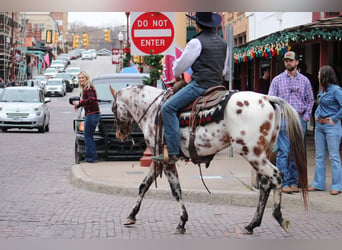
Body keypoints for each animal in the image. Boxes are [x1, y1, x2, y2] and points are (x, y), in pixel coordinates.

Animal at [109, 85, 308, 235]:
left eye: (113, 108)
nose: (119, 135)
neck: (153, 110)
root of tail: (267, 98)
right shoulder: (158, 159)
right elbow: (144, 185)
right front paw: (131, 215)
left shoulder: (167, 161)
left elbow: (176, 190)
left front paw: (182, 222)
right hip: (262, 154)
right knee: (266, 185)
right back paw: (251, 225)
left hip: (253, 154)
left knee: (277, 176)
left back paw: (279, 217)